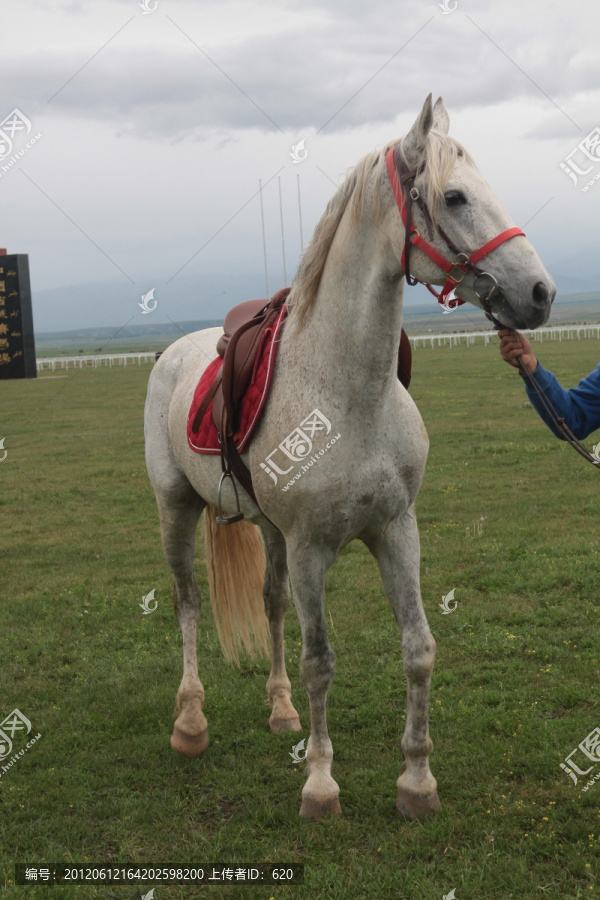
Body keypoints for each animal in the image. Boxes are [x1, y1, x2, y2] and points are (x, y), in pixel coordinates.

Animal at [144, 95, 552, 820]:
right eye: (453, 196)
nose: (539, 292)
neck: (347, 395)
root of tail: (175, 351)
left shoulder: (395, 530)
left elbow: (418, 649)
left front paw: (417, 780)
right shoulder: (312, 548)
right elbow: (321, 661)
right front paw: (320, 784)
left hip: (269, 531)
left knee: (270, 602)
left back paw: (280, 710)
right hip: (177, 508)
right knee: (188, 602)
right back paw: (190, 722)